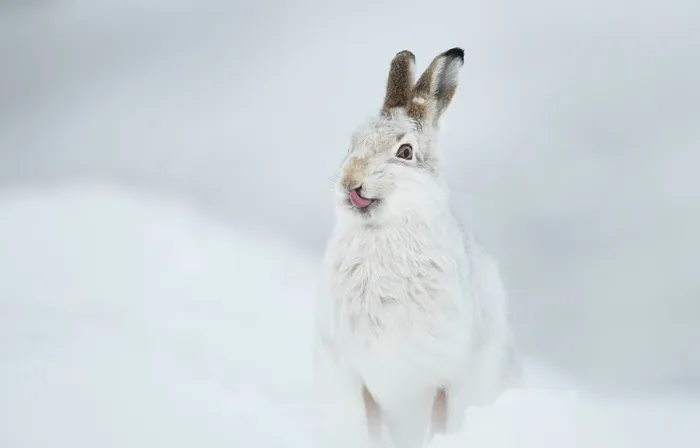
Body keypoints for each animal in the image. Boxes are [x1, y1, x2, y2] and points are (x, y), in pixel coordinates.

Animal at [313, 47, 519, 448]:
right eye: (353, 143)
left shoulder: (442, 376)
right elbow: (373, 424)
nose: (349, 182)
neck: (383, 232)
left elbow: (438, 419)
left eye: (405, 152)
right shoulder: (365, 380)